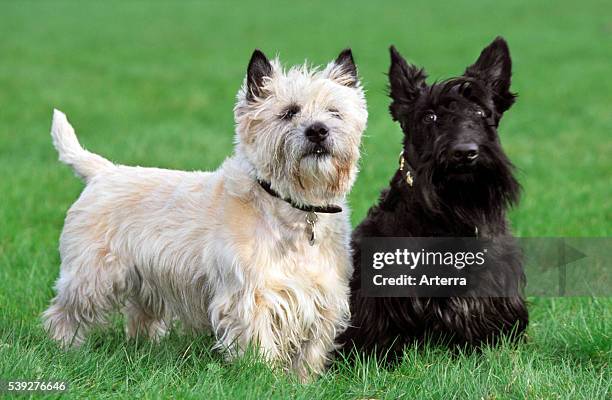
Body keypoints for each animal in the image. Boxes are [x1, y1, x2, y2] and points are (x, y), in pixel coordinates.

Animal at [44, 48, 368, 380]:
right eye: (289, 112)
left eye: (334, 112)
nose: (318, 130)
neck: (296, 208)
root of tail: (103, 172)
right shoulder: (251, 295)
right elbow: (259, 340)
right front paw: (264, 377)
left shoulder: (323, 295)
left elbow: (311, 347)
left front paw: (303, 380)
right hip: (91, 274)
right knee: (64, 311)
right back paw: (65, 348)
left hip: (144, 278)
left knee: (140, 315)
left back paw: (145, 348)